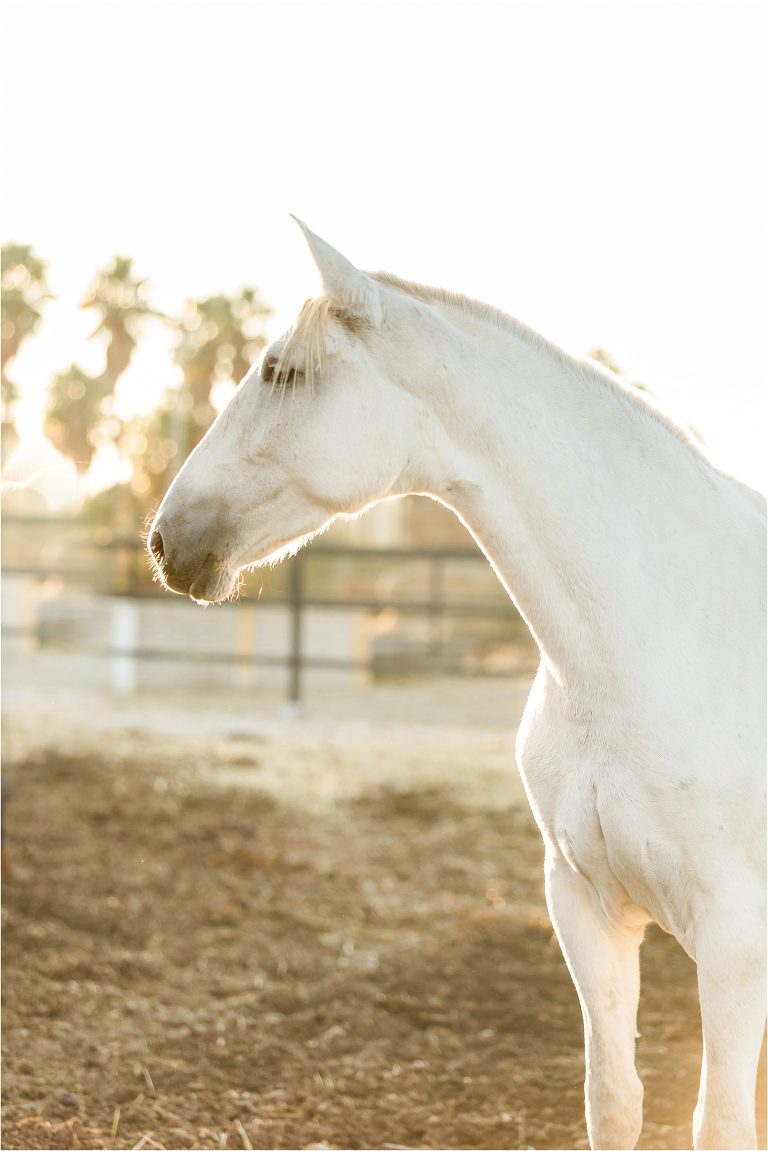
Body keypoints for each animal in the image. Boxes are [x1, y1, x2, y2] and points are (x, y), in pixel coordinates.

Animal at [148, 219, 766, 1150]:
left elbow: (721, 1118)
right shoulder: (586, 907)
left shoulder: (733, 938)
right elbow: (613, 1096)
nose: (165, 540)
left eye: (282, 372)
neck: (658, 642)